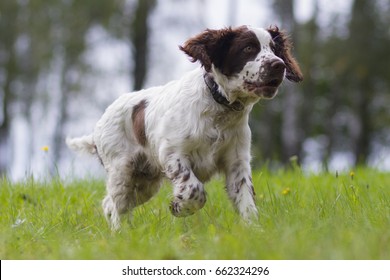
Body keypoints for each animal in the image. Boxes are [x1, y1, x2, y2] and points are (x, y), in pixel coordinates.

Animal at [67, 25, 304, 230]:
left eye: (274, 49)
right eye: (248, 48)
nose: (279, 65)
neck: (218, 107)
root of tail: (97, 127)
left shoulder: (237, 162)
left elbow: (246, 198)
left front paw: (253, 230)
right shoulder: (173, 154)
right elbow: (194, 189)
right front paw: (179, 206)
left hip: (145, 182)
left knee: (110, 203)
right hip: (122, 170)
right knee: (118, 205)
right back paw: (119, 233)